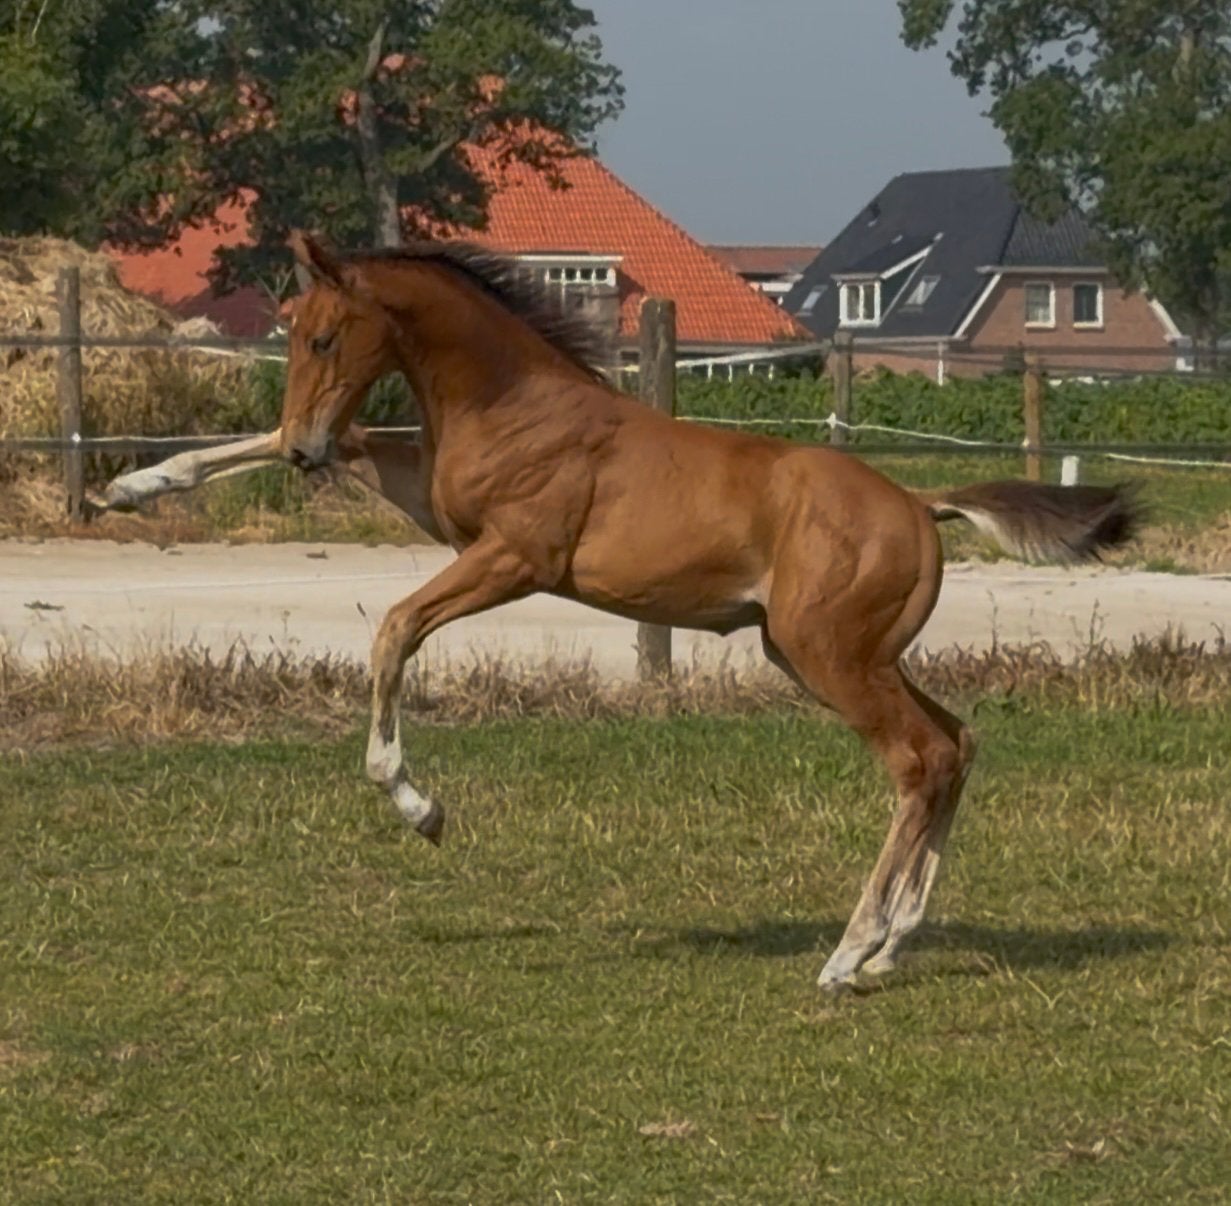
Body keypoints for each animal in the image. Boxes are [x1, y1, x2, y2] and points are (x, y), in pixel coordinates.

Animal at [105, 231, 1138, 991]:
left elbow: (394, 629)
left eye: (324, 337)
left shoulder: (512, 557)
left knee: (918, 760)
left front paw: (419, 807)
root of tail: (922, 508)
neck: (516, 404)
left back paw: (847, 954)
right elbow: (345, 461)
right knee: (956, 744)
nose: (304, 452)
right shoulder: (440, 513)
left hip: (831, 657)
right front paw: (133, 484)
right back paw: (891, 946)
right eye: (291, 334)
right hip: (834, 655)